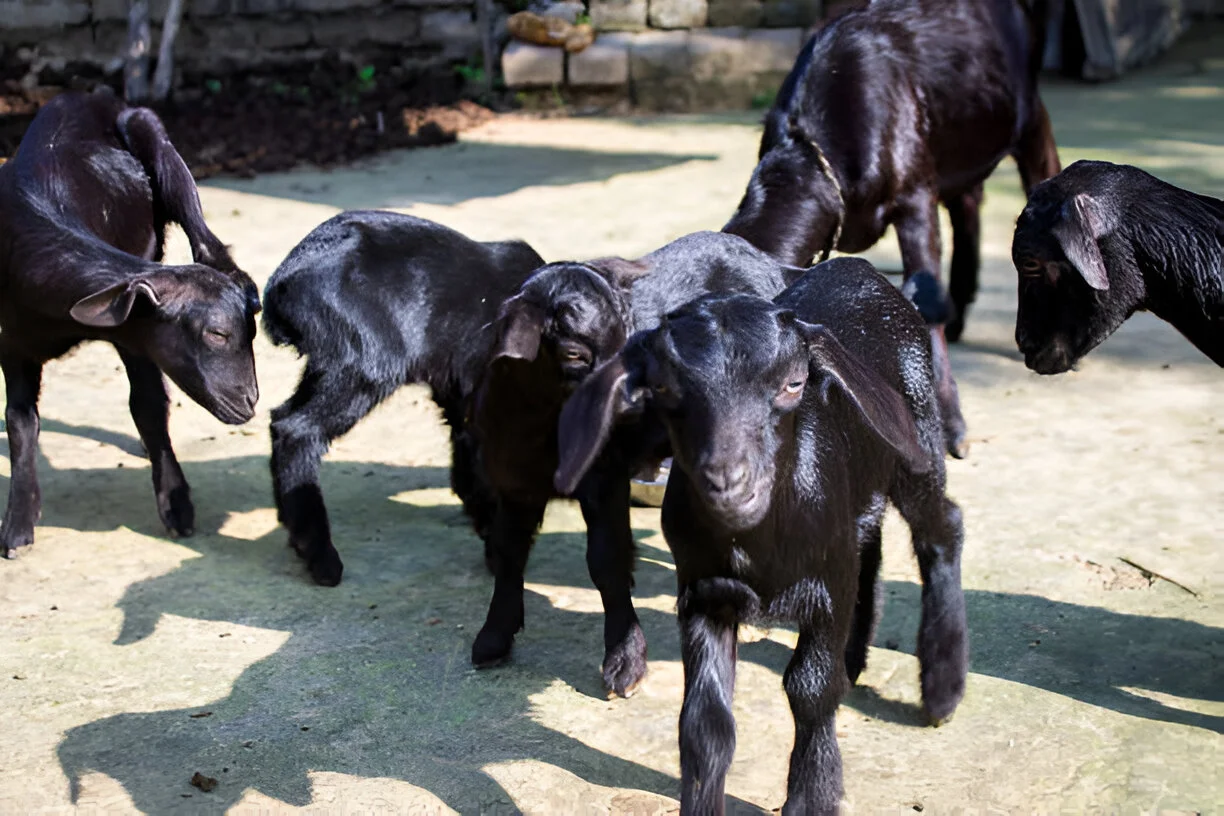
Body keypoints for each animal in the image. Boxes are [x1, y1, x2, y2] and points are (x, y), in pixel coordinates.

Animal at [0, 89, 260, 558]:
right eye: (216, 334)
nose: (249, 401)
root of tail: (88, 95)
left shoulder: (136, 336)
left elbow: (149, 405)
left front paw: (176, 504)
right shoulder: (13, 343)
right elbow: (21, 420)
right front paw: (18, 526)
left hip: (151, 133)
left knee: (203, 235)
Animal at [262, 210, 546, 587]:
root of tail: (283, 282)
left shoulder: (460, 395)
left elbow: (468, 460)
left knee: (281, 418)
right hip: (367, 363)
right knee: (297, 429)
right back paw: (320, 557)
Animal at [470, 231, 806, 697]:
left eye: (630, 336)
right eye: (573, 353)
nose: (632, 400)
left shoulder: (605, 475)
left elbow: (606, 560)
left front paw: (624, 660)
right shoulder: (513, 481)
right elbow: (508, 551)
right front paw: (493, 637)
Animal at [555, 259, 968, 813]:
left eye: (794, 383)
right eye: (662, 389)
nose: (728, 482)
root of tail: (861, 268)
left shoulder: (826, 588)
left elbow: (810, 689)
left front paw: (813, 796)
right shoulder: (704, 592)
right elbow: (704, 720)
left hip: (917, 438)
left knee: (942, 527)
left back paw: (943, 687)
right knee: (871, 541)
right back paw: (857, 658)